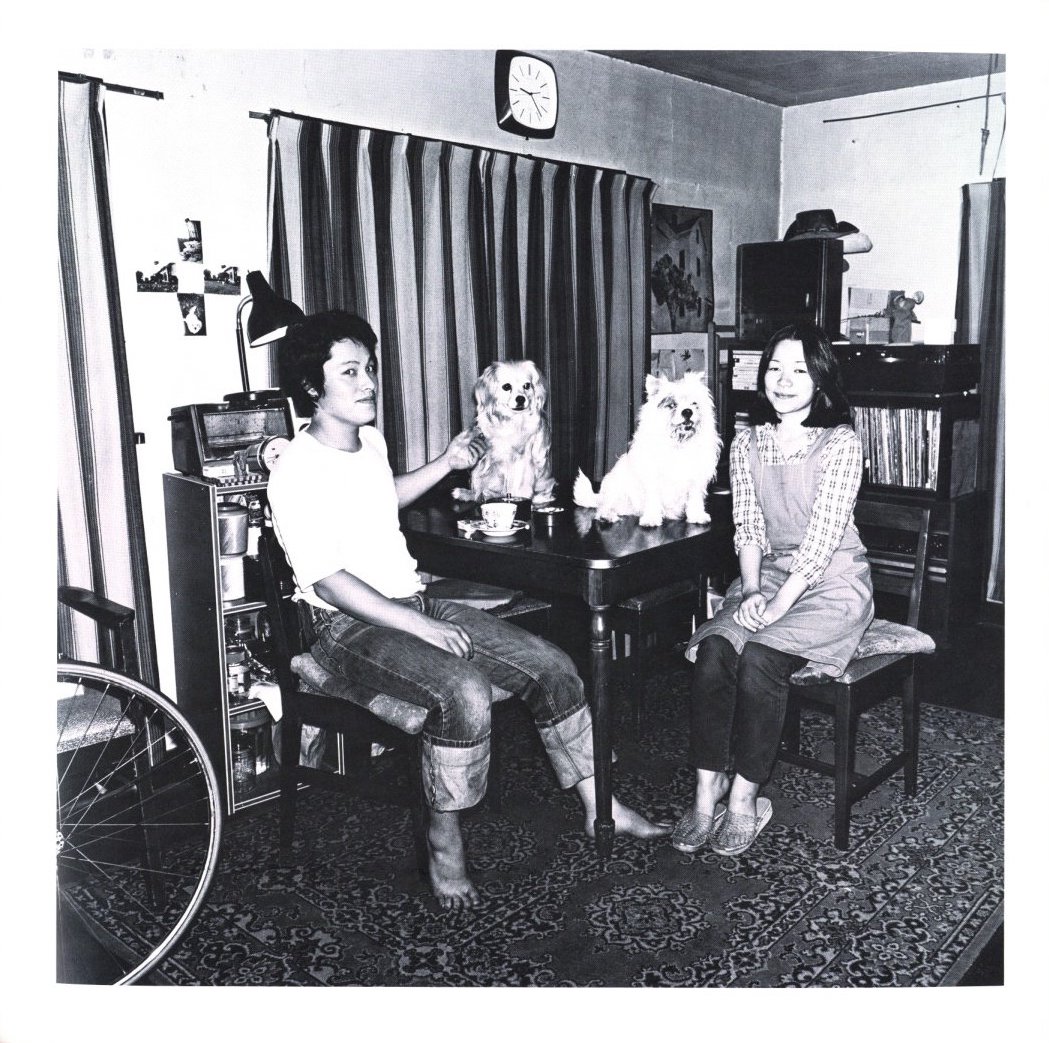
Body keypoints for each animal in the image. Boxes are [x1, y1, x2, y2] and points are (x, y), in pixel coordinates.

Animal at [452, 359, 556, 504]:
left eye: (527, 386)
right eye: (507, 387)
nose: (521, 398)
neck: (512, 420)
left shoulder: (524, 460)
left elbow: (520, 483)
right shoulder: (488, 458)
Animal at [573, 371, 720, 527]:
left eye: (694, 403)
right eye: (672, 405)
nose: (688, 412)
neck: (678, 443)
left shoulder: (696, 479)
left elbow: (695, 499)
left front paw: (697, 516)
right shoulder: (652, 477)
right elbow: (653, 499)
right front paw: (651, 518)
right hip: (617, 488)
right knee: (605, 506)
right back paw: (606, 516)